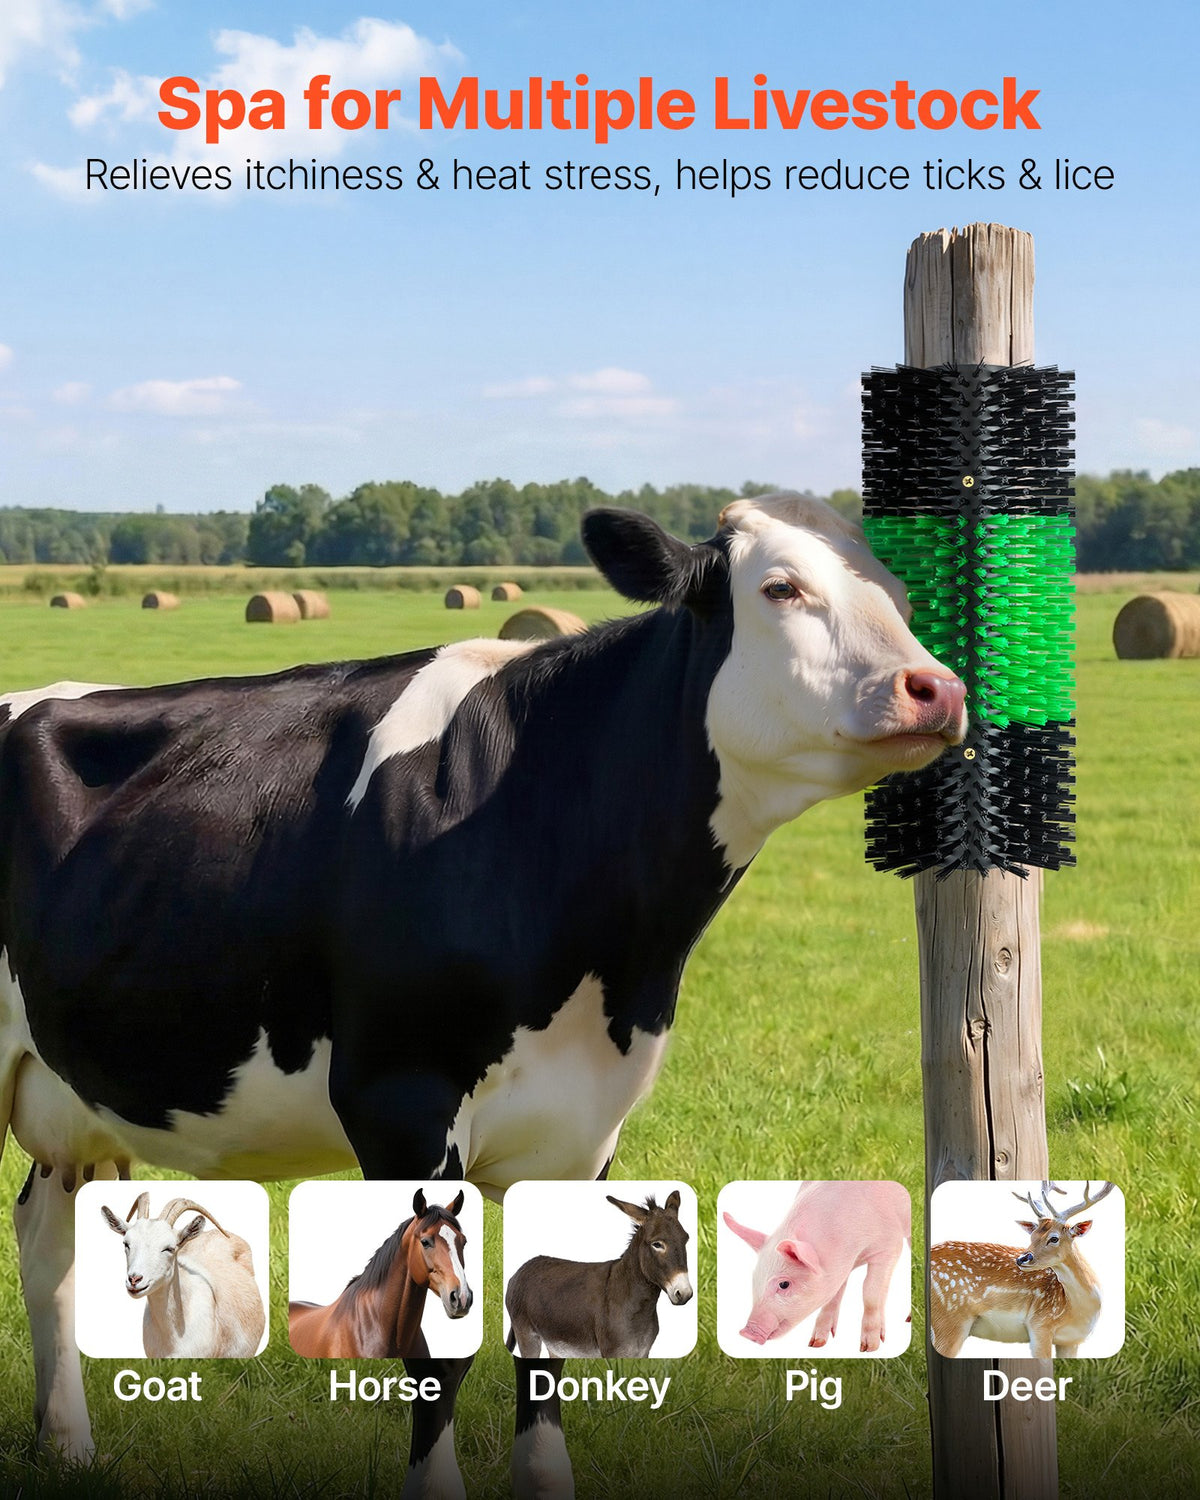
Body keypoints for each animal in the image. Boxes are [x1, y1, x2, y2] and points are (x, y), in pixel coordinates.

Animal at [505, 1191, 693, 1359]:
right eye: (657, 1244)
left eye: (686, 1239)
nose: (684, 1293)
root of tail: (523, 1268)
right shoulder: (613, 1353)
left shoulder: (642, 1353)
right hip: (526, 1334)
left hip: (555, 1343)